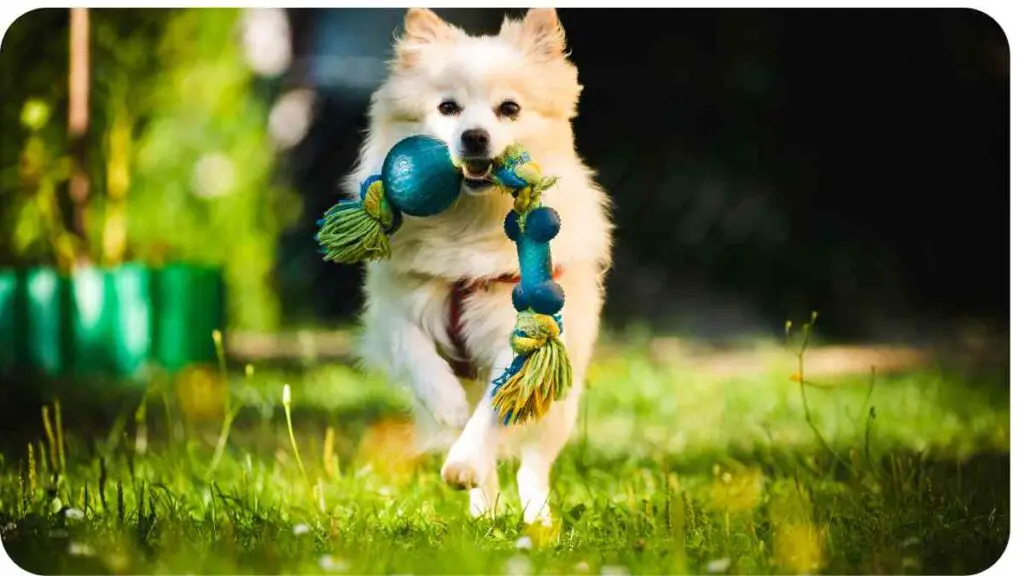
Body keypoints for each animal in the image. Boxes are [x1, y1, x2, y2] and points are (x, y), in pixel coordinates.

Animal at [346, 5, 614, 524]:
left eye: (508, 109)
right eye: (447, 108)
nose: (474, 137)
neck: (468, 223)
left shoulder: (523, 333)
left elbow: (495, 408)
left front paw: (466, 460)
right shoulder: (396, 307)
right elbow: (415, 351)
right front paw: (446, 403)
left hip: (560, 405)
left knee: (534, 463)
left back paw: (537, 520)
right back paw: (483, 512)